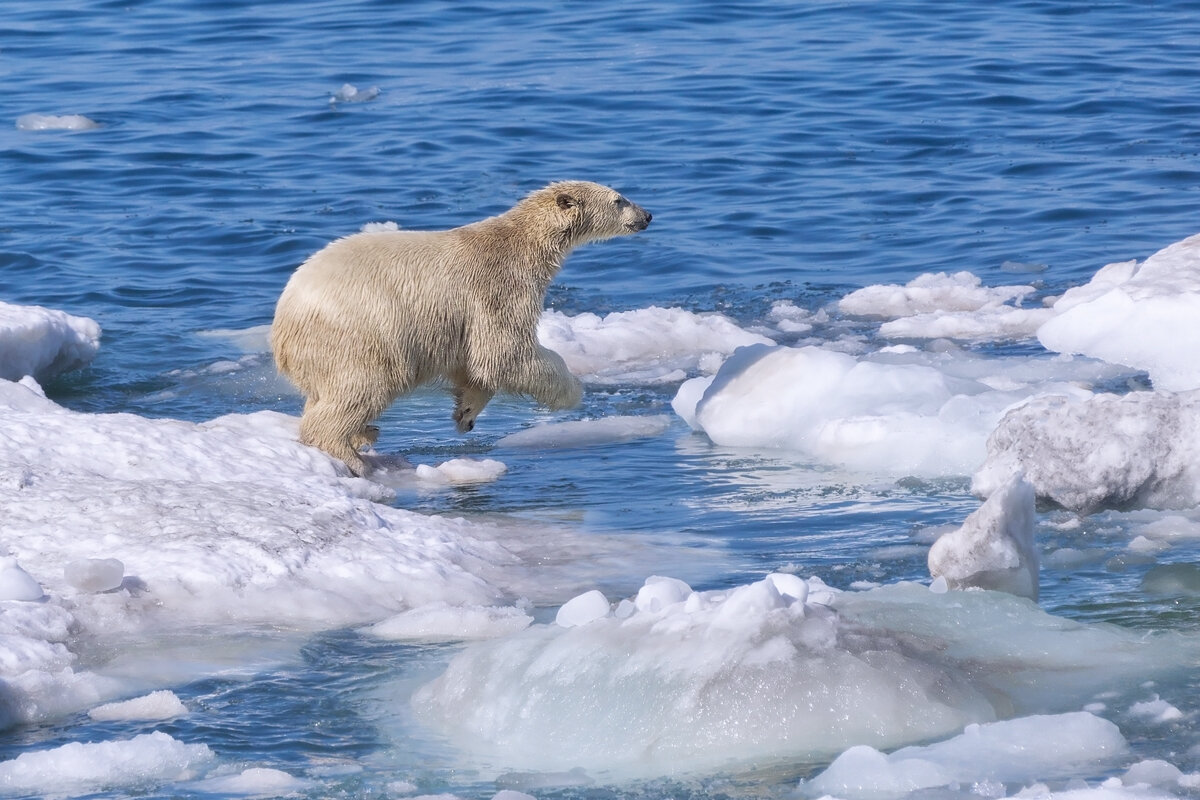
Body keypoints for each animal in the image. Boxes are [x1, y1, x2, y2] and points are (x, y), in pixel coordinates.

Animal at [271, 181, 652, 474]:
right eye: (619, 199)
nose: (647, 215)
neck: (522, 242)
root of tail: (283, 325)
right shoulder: (498, 285)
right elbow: (504, 352)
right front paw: (572, 391)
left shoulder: (462, 318)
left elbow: (475, 364)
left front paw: (465, 414)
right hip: (359, 334)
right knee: (361, 386)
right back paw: (351, 454)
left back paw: (365, 433)